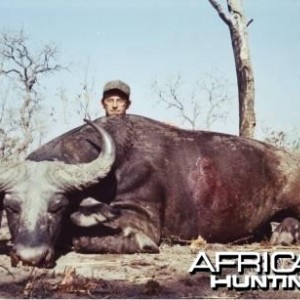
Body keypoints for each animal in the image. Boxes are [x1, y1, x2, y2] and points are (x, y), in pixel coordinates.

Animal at [0, 115, 300, 268]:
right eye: (11, 207)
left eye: (58, 206)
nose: (30, 257)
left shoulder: (141, 224)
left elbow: (82, 238)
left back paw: (285, 233)